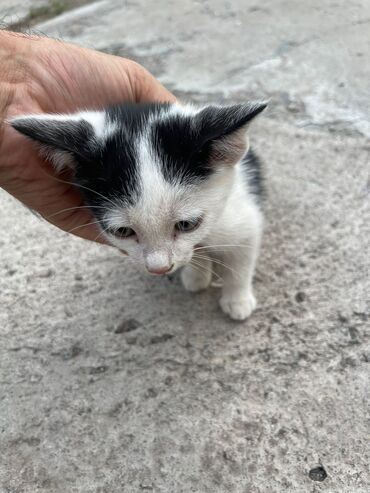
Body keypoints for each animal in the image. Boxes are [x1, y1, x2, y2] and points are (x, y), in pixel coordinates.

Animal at [10, 102, 266, 320]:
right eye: (123, 231)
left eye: (186, 225)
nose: (159, 268)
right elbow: (198, 252)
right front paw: (197, 274)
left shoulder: (242, 213)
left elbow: (241, 261)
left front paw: (237, 299)